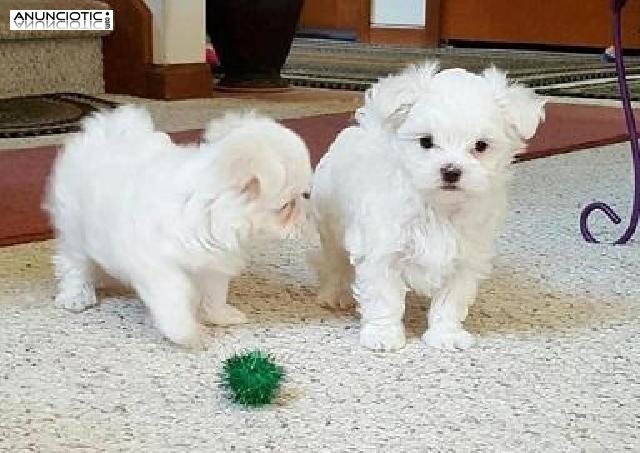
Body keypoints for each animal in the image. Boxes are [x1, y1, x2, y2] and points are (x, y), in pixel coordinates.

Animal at [46, 106, 312, 346]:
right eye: (286, 205)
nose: (306, 219)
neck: (208, 210)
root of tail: (106, 131)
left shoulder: (213, 264)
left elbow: (216, 293)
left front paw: (222, 316)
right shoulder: (156, 264)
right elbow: (174, 293)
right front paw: (186, 332)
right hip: (74, 228)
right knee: (74, 264)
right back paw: (76, 296)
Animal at [312, 61, 544, 350]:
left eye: (480, 145)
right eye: (426, 141)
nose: (451, 171)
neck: (438, 207)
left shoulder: (464, 259)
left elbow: (451, 302)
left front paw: (446, 335)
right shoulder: (383, 251)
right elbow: (383, 297)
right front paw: (383, 335)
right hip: (331, 223)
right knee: (335, 261)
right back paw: (333, 294)